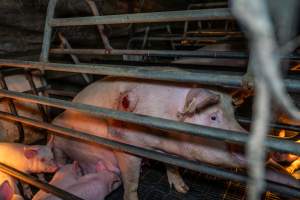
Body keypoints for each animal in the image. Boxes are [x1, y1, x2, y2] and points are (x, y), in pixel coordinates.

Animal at [50, 77, 247, 200]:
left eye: (234, 114)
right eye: (213, 117)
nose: (245, 146)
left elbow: (173, 167)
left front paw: (184, 190)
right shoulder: (125, 145)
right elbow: (131, 182)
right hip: (56, 134)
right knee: (57, 153)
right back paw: (57, 167)